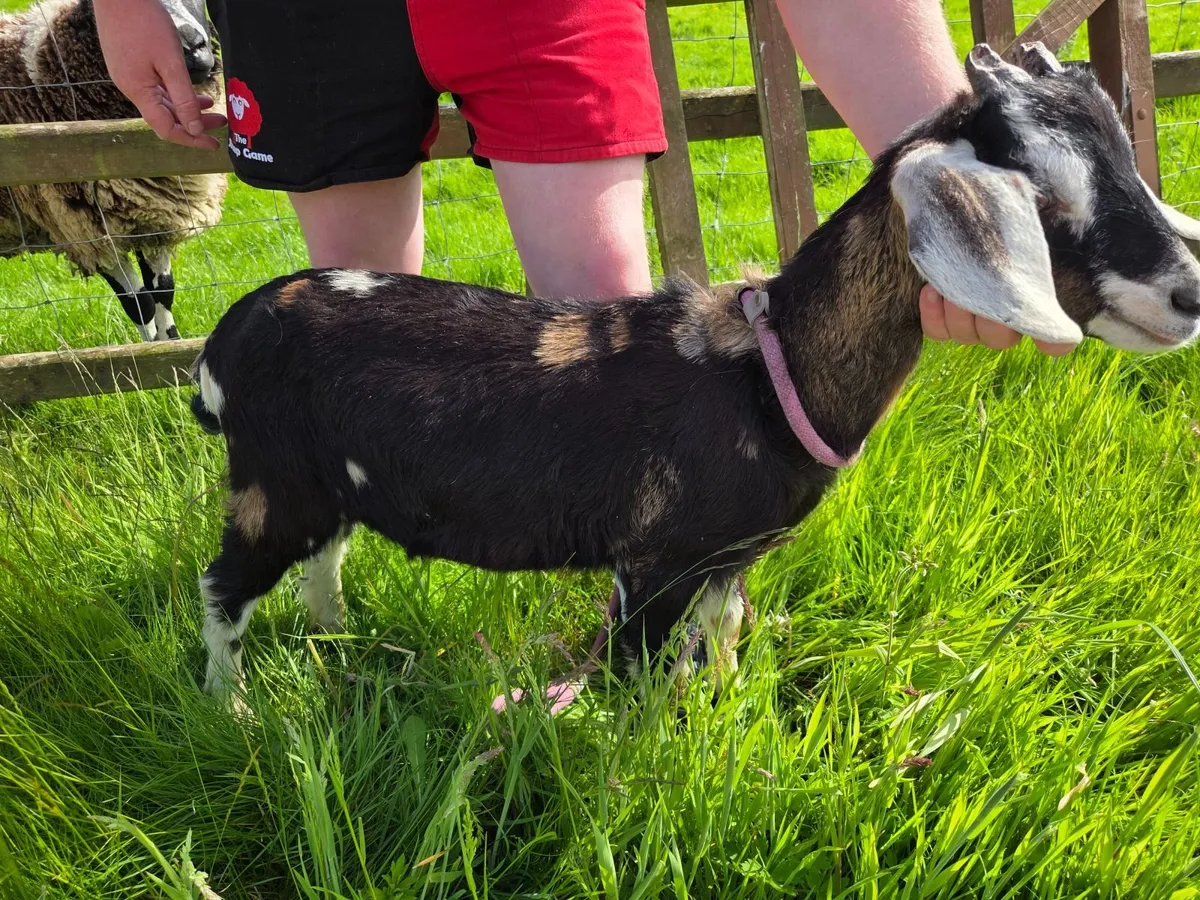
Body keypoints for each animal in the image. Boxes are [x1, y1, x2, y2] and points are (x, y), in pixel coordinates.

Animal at [189, 43, 1200, 708]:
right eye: (1044, 201)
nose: (1189, 294)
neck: (765, 373)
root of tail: (223, 339)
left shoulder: (722, 566)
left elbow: (720, 649)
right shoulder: (655, 563)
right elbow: (634, 688)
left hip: (326, 486)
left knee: (322, 558)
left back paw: (333, 636)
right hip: (272, 482)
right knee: (222, 586)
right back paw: (232, 711)